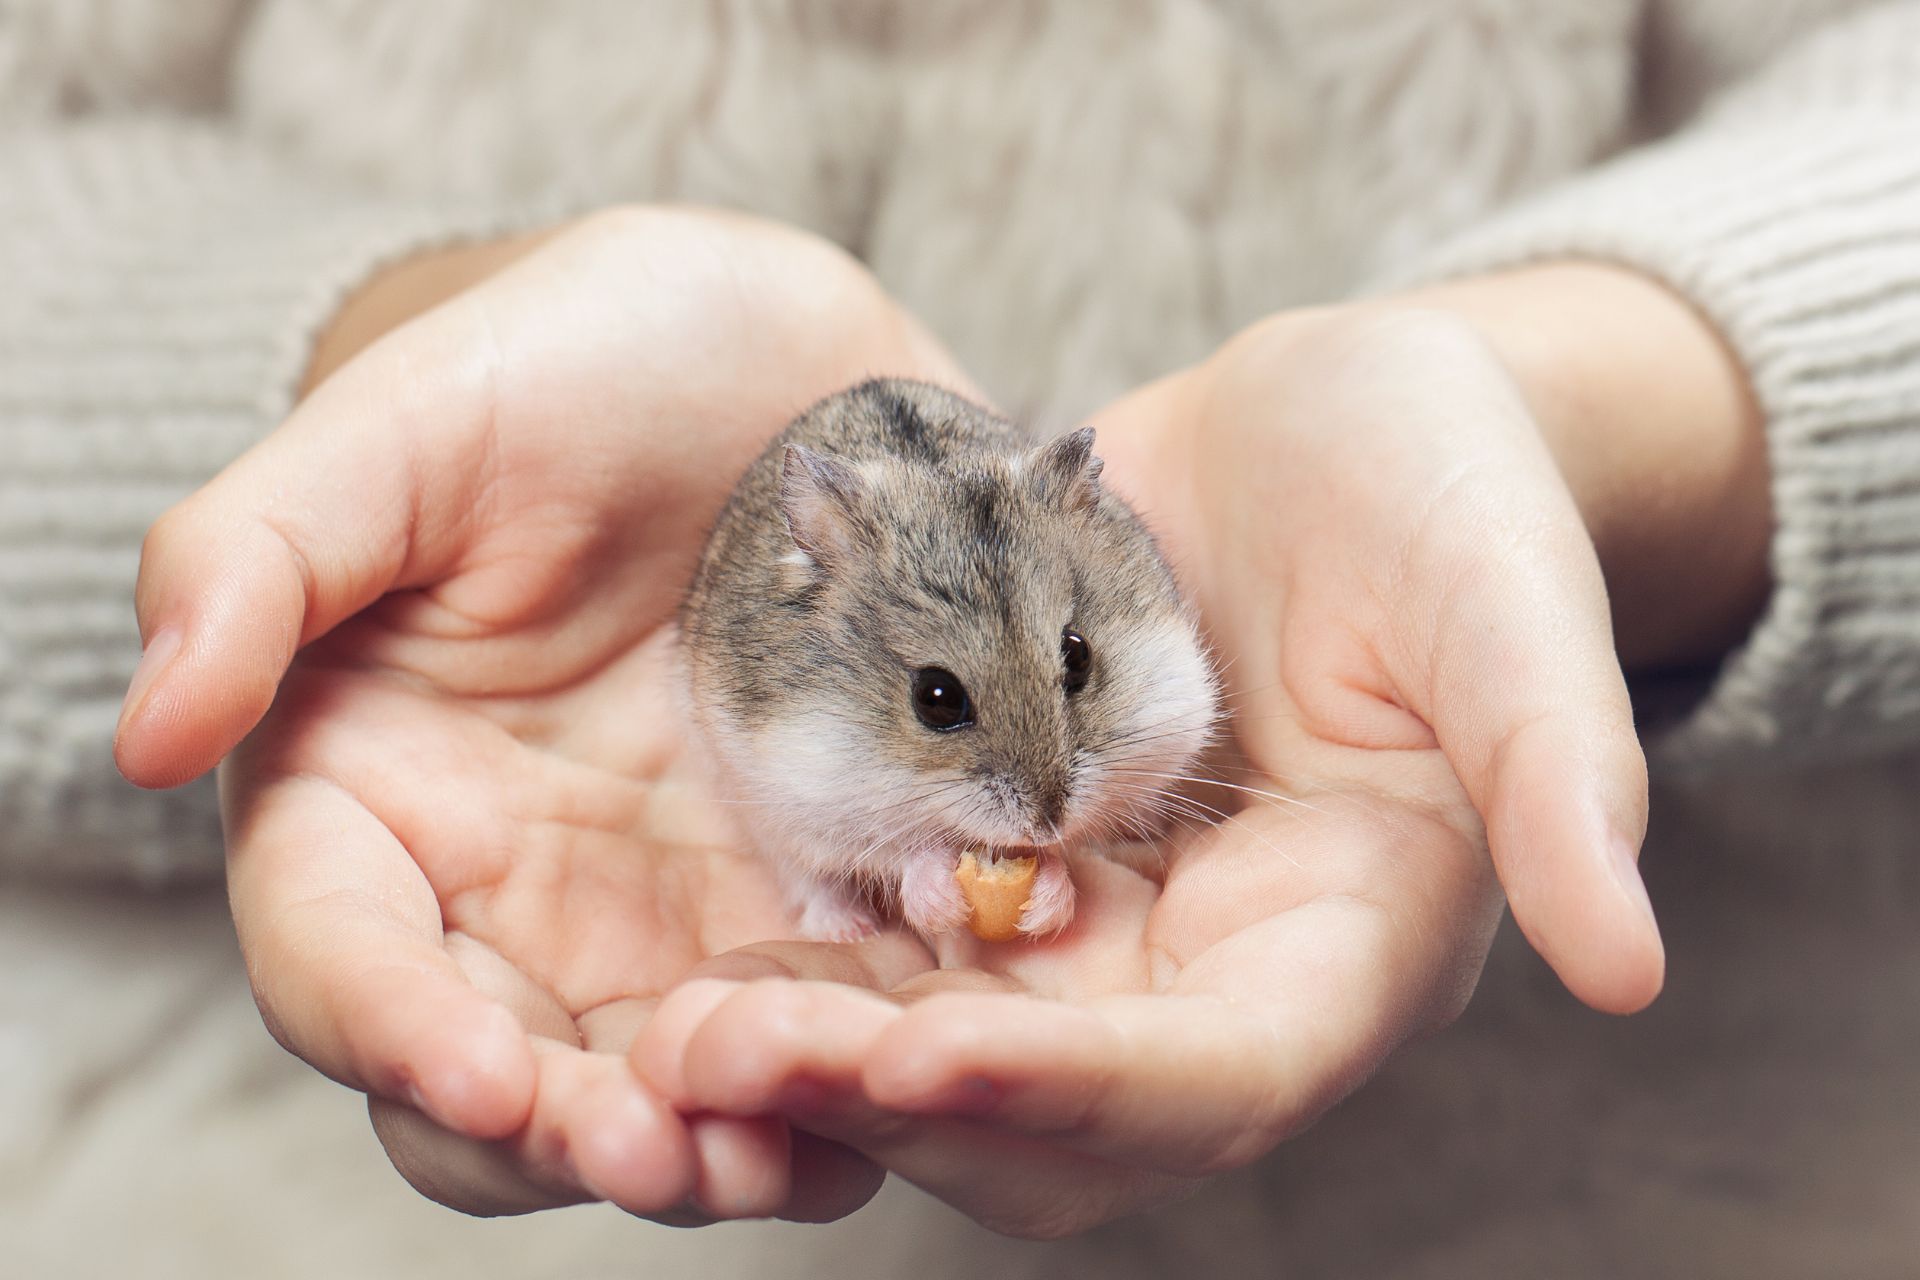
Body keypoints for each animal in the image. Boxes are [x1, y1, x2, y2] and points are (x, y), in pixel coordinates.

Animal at [683, 372, 1221, 940]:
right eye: (936, 699)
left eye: (1078, 656)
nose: (1047, 825)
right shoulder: (798, 795)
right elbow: (897, 855)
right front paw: (937, 896)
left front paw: (1048, 894)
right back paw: (847, 928)